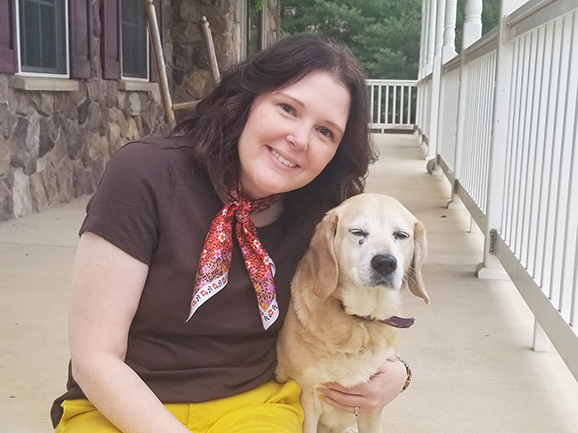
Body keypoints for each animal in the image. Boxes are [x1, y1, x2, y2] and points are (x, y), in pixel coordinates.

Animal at [274, 193, 428, 432]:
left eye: (401, 235)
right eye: (358, 232)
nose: (385, 263)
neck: (361, 322)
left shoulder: (372, 406)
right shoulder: (307, 401)